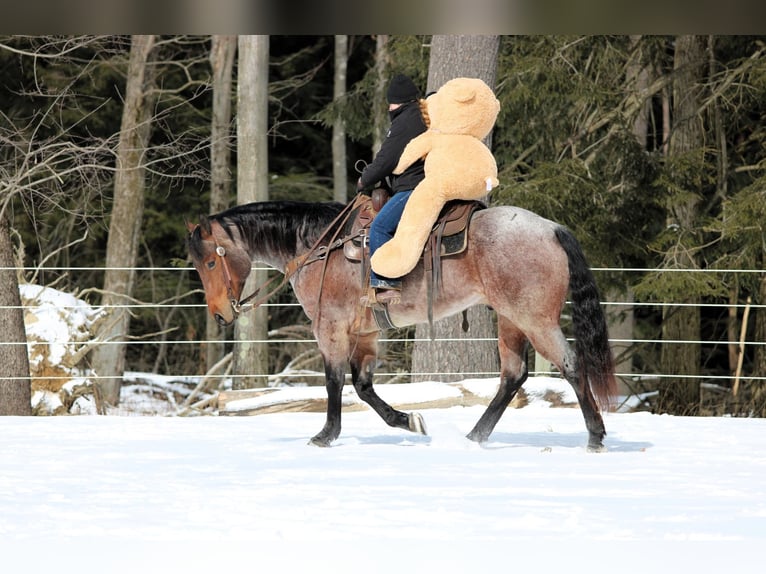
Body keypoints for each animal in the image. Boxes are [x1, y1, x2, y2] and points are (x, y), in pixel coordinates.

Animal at [189, 200, 620, 452]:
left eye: (209, 262)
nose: (220, 314)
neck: (319, 246)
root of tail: (550, 228)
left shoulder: (330, 327)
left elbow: (334, 381)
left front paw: (325, 435)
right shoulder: (365, 333)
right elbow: (363, 386)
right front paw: (408, 421)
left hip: (534, 319)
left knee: (570, 365)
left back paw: (595, 436)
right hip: (510, 319)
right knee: (513, 375)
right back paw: (474, 437)